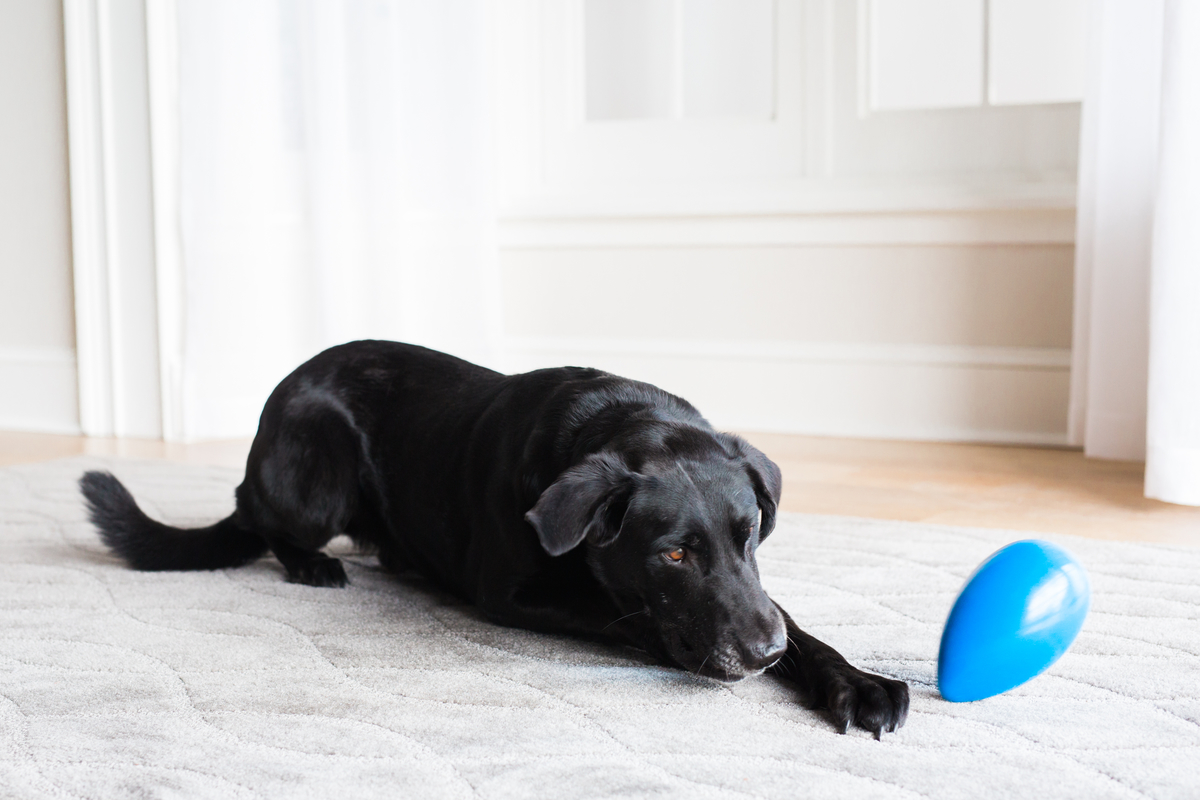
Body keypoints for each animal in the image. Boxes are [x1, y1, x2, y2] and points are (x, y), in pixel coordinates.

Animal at [81, 340, 908, 737]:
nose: (762, 654)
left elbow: (801, 625)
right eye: (673, 555)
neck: (615, 421)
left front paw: (854, 681)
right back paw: (312, 564)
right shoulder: (509, 593)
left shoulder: (757, 596)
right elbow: (631, 616)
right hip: (319, 468)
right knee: (259, 520)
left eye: (752, 538)